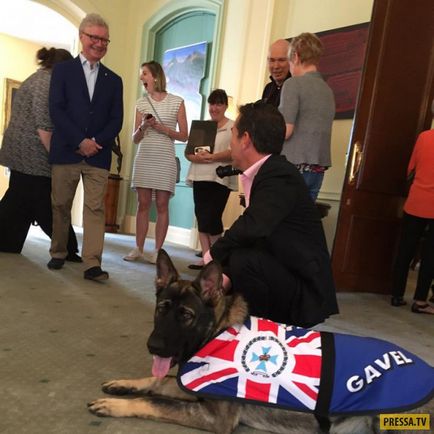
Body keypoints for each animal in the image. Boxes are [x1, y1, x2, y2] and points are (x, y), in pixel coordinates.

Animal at [87, 249, 430, 432]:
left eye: (186, 315)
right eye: (162, 309)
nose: (154, 347)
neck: (217, 331)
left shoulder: (214, 417)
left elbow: (154, 400)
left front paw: (117, 404)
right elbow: (160, 381)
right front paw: (124, 384)